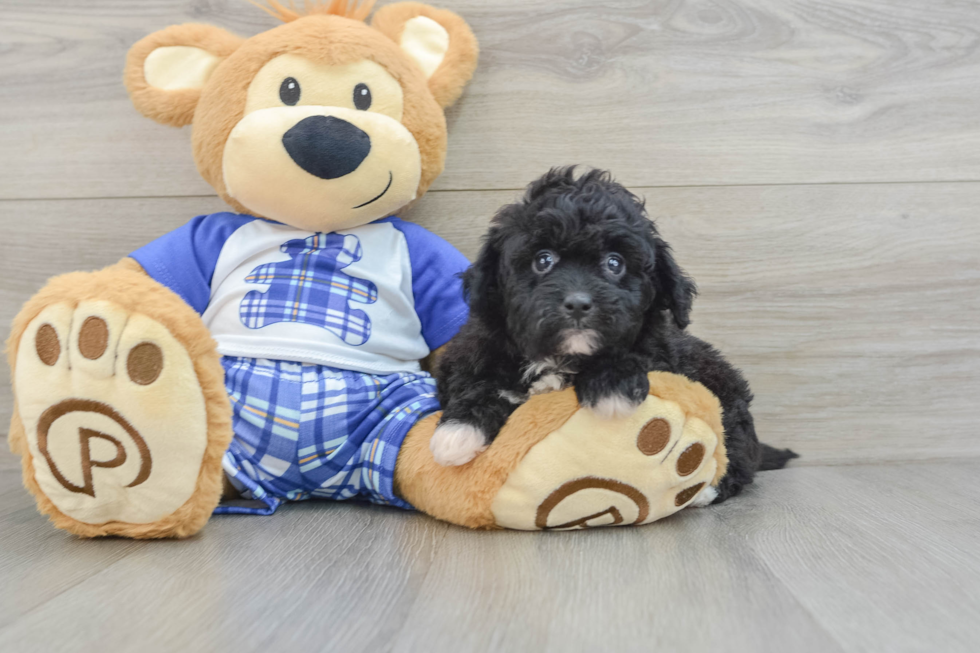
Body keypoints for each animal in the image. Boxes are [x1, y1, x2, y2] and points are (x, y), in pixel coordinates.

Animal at [430, 168, 796, 504]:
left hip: (727, 398)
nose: (578, 303)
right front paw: (458, 431)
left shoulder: (661, 356)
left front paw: (611, 386)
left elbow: (628, 356)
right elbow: (479, 386)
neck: (561, 356)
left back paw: (705, 490)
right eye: (543, 260)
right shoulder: (470, 356)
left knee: (738, 457)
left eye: (614, 263)